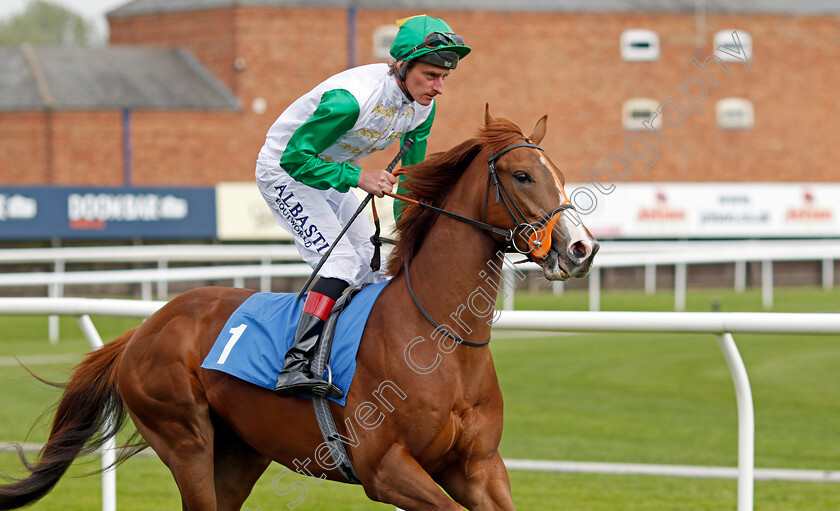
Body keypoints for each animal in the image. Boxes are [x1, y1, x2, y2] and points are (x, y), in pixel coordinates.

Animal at [0, 106, 596, 510]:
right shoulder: (386, 469)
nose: (581, 248)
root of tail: (146, 328)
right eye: (522, 175)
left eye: (561, 174)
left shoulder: (478, 467)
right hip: (184, 438)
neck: (440, 341)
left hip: (240, 450)